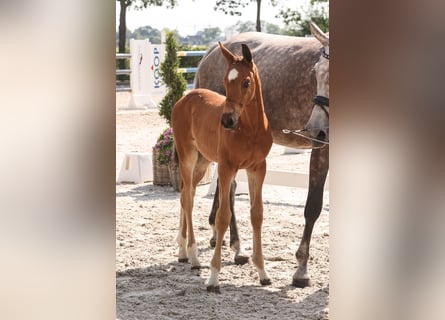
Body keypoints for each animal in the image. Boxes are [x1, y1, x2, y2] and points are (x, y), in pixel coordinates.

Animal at [193, 23, 328, 288]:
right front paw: (301, 270)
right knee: (229, 190)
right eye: (316, 72)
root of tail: (213, 50)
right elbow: (313, 206)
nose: (315, 129)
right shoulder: (322, 147)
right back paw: (238, 248)